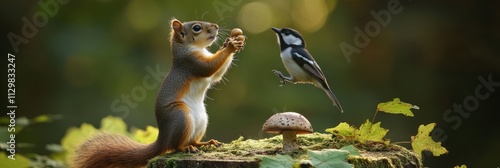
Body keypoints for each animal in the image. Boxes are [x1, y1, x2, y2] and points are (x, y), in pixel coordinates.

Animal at [72, 18, 246, 168]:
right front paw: (231, 46)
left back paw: (206, 143)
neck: (191, 48)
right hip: (180, 116)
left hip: (202, 120)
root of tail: (163, 139)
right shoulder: (191, 63)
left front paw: (232, 42)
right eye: (197, 27)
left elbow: (217, 75)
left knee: (192, 141)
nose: (216, 27)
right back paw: (185, 148)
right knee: (175, 146)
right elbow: (211, 67)